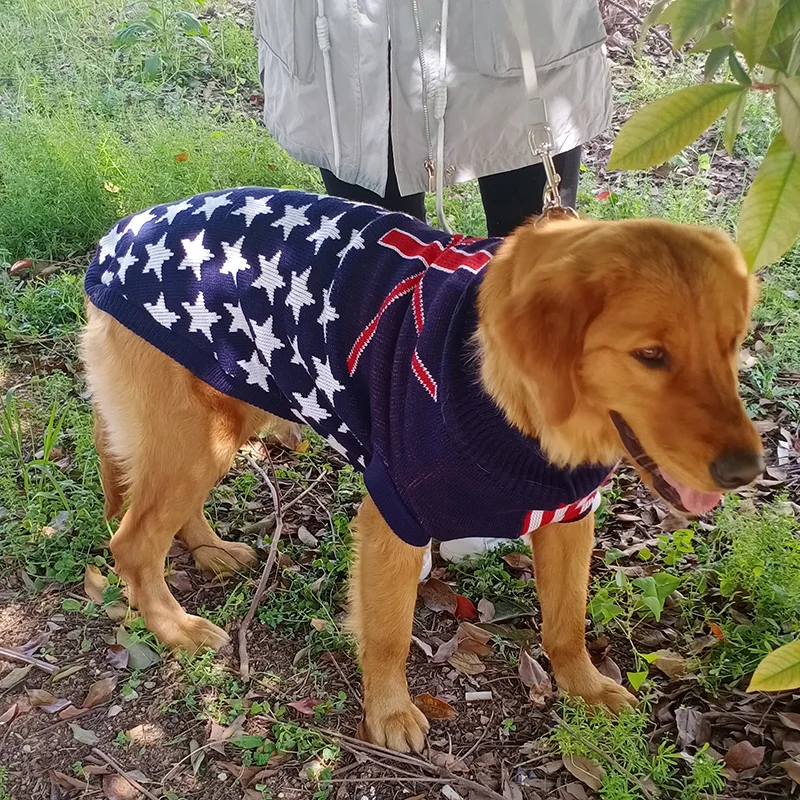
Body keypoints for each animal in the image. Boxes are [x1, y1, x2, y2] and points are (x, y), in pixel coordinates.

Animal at [81, 191, 764, 752]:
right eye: (650, 355)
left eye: (732, 345)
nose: (745, 471)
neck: (514, 407)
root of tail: (121, 234)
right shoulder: (392, 522)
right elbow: (387, 634)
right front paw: (388, 712)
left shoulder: (568, 520)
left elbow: (567, 622)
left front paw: (584, 686)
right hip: (200, 440)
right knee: (133, 543)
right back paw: (175, 628)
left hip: (217, 425)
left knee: (162, 520)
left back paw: (208, 550)